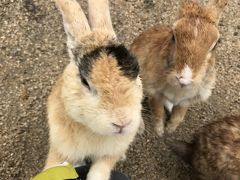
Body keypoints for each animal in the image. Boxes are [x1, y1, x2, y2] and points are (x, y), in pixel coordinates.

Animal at [44, 0, 143, 179]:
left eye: (137, 71)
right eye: (85, 81)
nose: (122, 122)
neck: (93, 131)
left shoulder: (110, 154)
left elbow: (100, 170)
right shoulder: (60, 149)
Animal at [130, 0, 228, 135]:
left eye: (216, 43)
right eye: (173, 36)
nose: (184, 79)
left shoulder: (187, 100)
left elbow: (179, 115)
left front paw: (170, 129)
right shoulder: (154, 92)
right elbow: (158, 112)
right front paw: (160, 131)